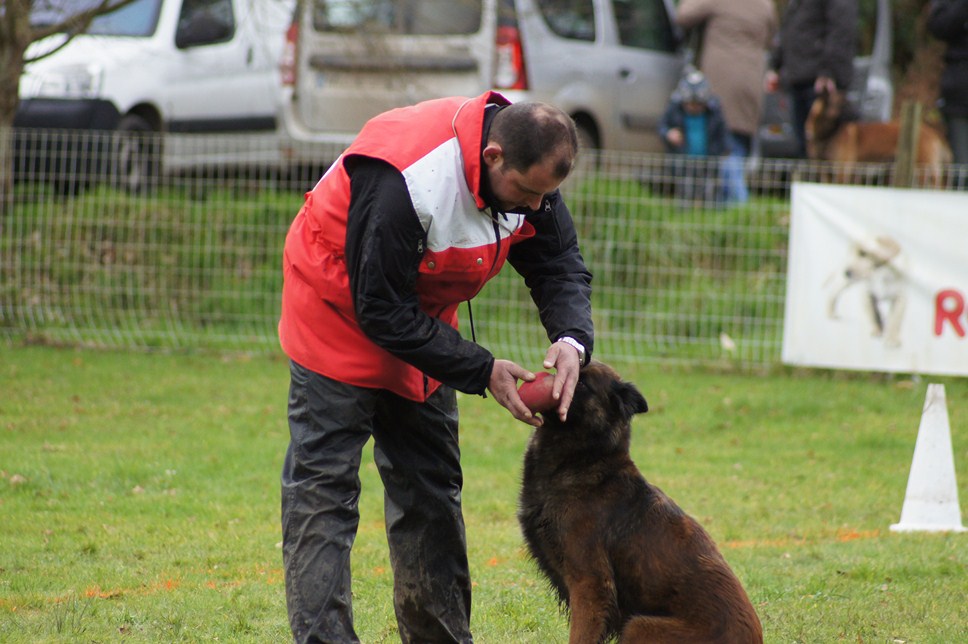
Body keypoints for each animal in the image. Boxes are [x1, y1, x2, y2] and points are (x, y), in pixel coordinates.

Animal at [800, 87, 952, 186]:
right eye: (842, 105)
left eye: (849, 103)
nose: (860, 113)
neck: (825, 136)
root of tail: (932, 131)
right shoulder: (824, 171)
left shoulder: (842, 170)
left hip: (922, 171)